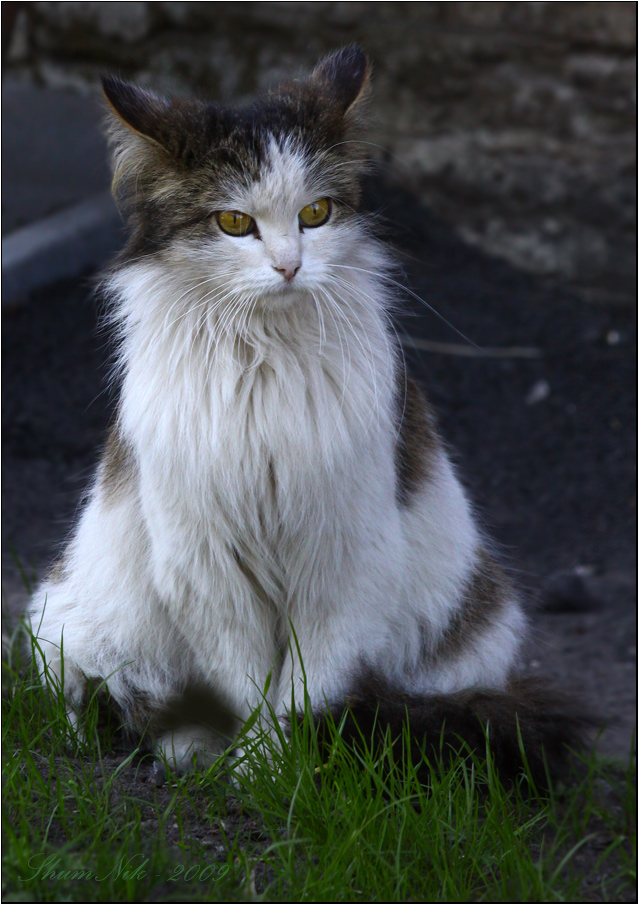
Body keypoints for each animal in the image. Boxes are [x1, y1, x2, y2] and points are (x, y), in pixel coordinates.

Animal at [28, 46, 580, 784]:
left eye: (316, 213)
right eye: (235, 223)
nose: (290, 265)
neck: (265, 364)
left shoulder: (342, 559)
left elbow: (302, 688)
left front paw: (279, 773)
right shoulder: (206, 562)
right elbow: (246, 681)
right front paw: (252, 769)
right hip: (68, 623)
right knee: (111, 707)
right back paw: (187, 749)